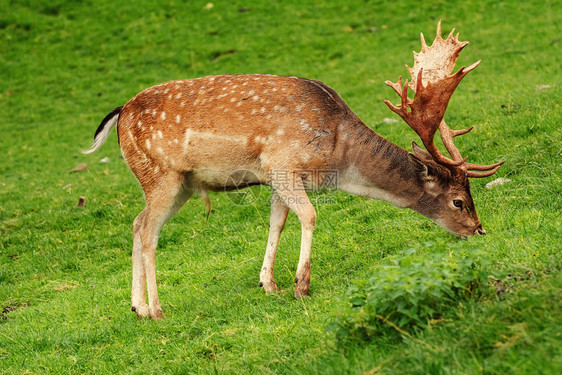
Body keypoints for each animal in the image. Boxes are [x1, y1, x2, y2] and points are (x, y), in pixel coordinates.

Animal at [83, 21, 504, 320]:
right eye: (459, 201)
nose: (480, 230)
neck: (336, 155)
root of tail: (119, 114)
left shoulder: (277, 179)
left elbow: (278, 222)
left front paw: (269, 284)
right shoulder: (282, 163)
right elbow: (310, 214)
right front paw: (302, 284)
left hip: (182, 184)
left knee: (137, 223)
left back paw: (137, 307)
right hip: (161, 175)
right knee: (148, 232)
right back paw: (155, 309)